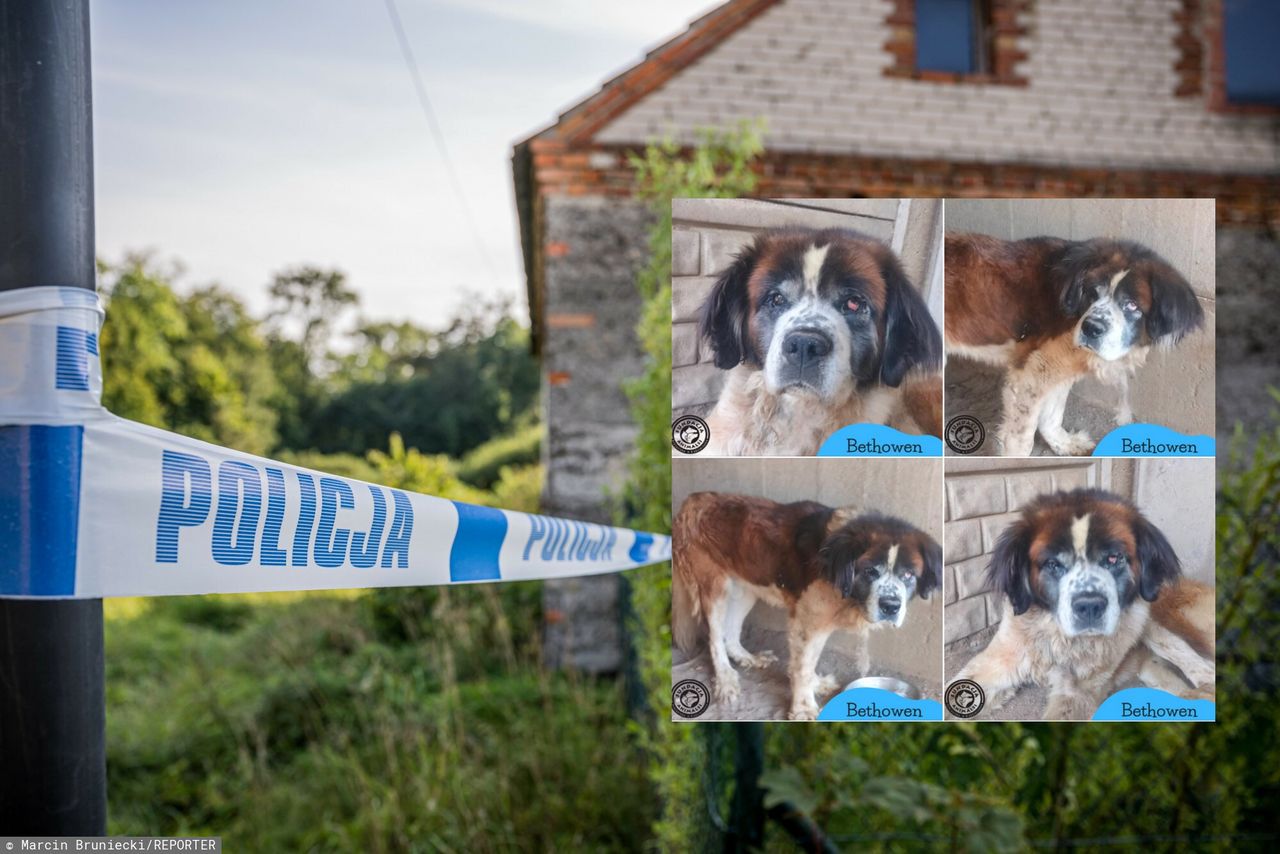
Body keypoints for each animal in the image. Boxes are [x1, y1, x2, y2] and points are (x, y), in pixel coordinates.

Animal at [670, 494, 942, 722]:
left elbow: (810, 662)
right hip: (715, 588)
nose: (891, 606)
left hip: (746, 590)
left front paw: (816, 683)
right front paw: (803, 707)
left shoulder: (817, 623)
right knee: (715, 636)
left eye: (908, 575)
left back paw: (748, 658)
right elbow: (803, 666)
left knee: (731, 630)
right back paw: (726, 679)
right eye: (870, 571)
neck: (837, 571)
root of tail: (692, 501)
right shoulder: (808, 622)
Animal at [947, 235, 1203, 453]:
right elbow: (1021, 438)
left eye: (1132, 305)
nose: (1092, 328)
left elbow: (1052, 414)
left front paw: (1063, 444)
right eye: (1093, 292)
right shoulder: (1031, 374)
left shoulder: (1056, 370)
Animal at [957, 486, 1213, 722]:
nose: (1089, 606)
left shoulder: (1075, 693)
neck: (1057, 639)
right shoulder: (996, 662)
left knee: (1202, 666)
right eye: (1052, 564)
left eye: (1113, 558)